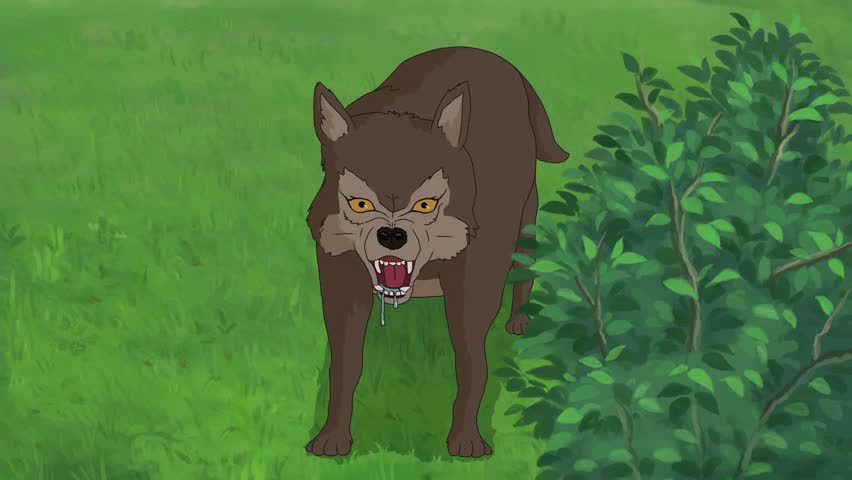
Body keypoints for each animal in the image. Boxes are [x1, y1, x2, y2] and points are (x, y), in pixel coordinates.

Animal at [305, 46, 568, 458]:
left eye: (426, 205)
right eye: (361, 204)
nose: (391, 234)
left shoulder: (475, 289)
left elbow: (472, 363)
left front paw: (465, 439)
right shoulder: (340, 284)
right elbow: (344, 365)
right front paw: (332, 436)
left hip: (526, 217)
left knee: (524, 266)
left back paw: (520, 320)